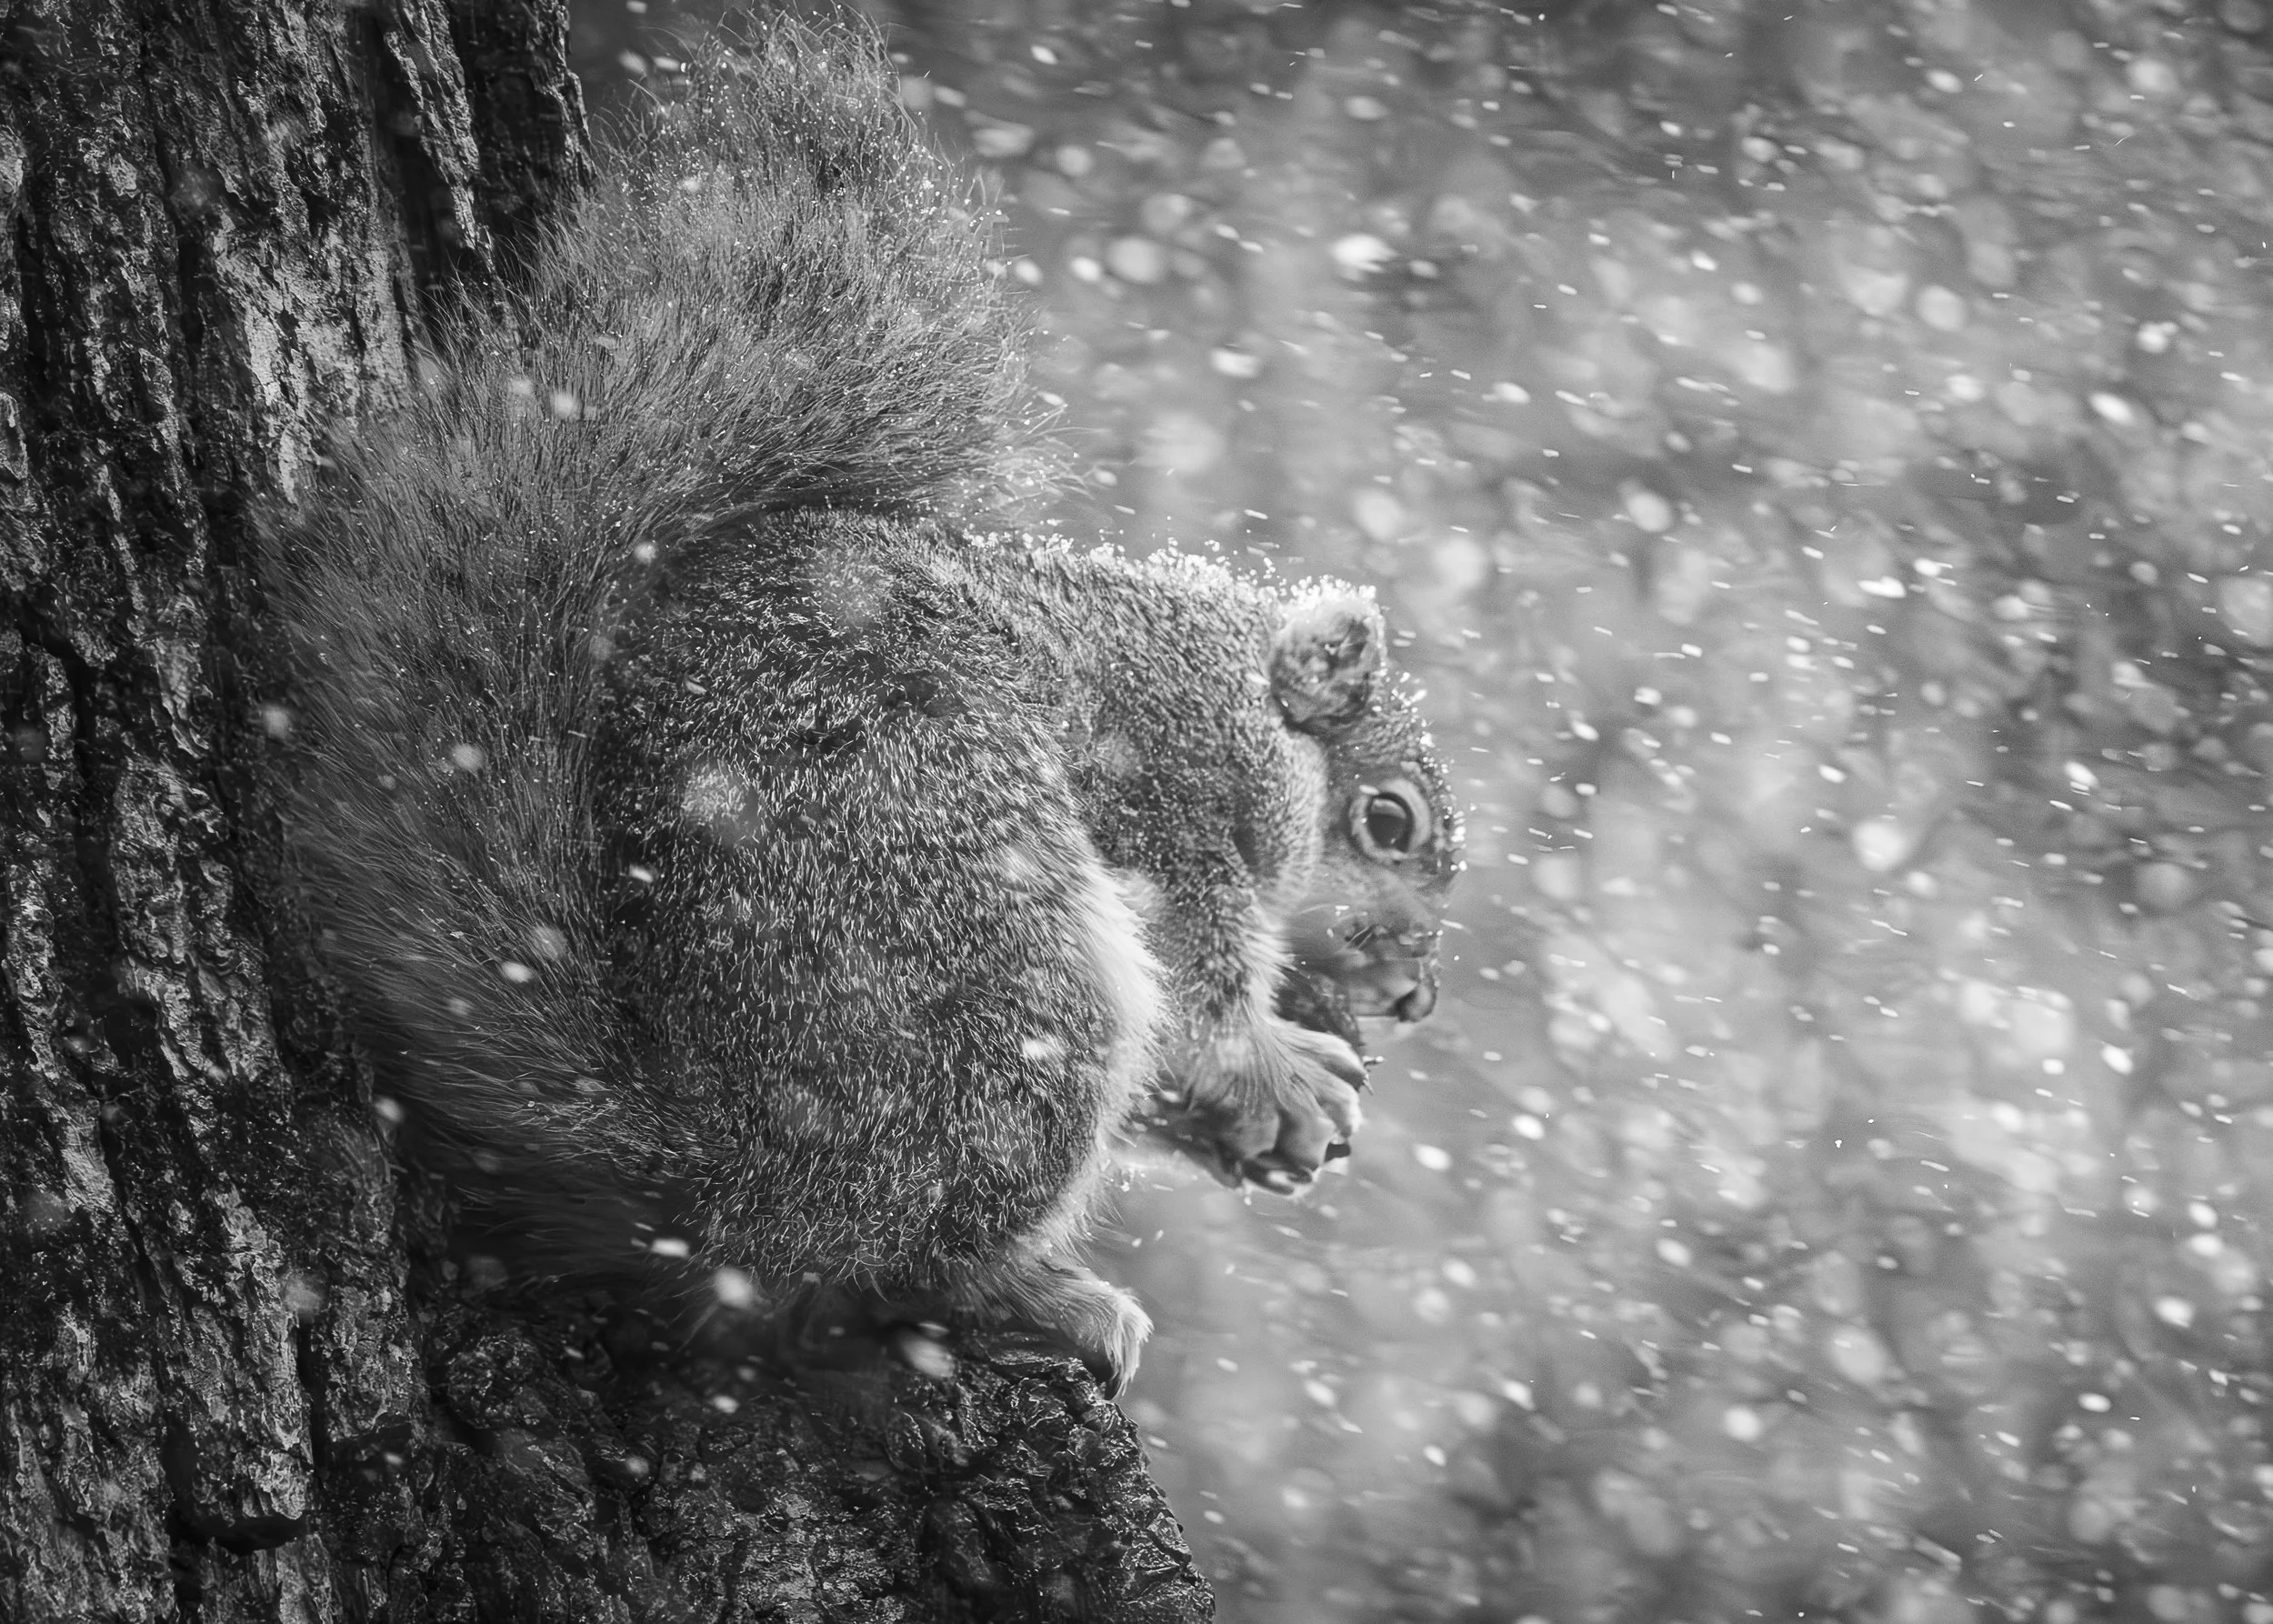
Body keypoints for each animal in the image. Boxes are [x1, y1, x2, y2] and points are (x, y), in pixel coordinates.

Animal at [266, 20, 1459, 1391]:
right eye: (1389, 821)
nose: (1415, 997)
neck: (1226, 682)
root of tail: (724, 1195)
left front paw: (1267, 1118)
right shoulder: (1166, 783)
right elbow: (1199, 977)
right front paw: (1274, 1071)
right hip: (996, 954)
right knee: (897, 1270)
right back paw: (1040, 1296)